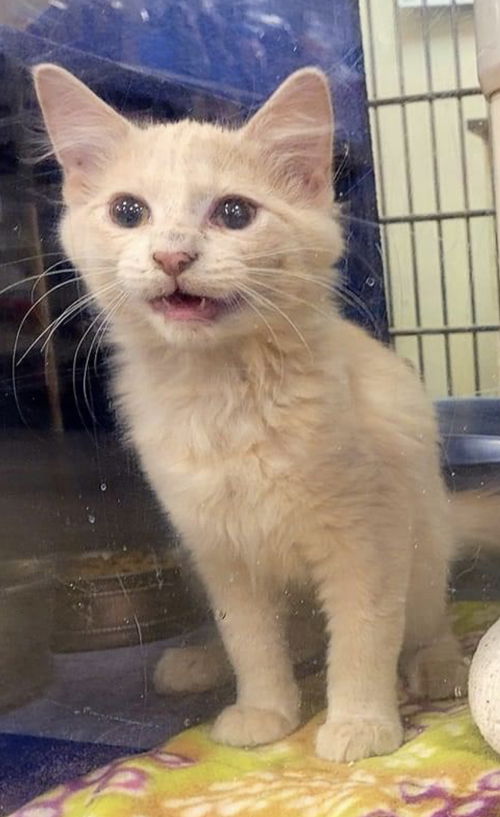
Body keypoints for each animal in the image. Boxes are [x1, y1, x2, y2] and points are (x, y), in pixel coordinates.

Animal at [33, 65, 498, 764]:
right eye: (128, 212)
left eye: (234, 213)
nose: (172, 256)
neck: (223, 399)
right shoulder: (222, 553)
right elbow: (252, 644)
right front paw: (265, 713)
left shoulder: (369, 537)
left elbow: (361, 638)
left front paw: (360, 723)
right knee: (293, 637)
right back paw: (197, 663)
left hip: (421, 549)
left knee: (424, 620)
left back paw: (437, 667)